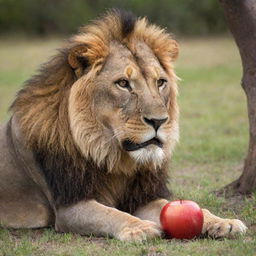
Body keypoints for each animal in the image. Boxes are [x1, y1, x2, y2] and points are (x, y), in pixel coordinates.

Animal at [0, 9, 248, 241]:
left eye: (160, 82)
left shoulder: (142, 196)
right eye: (123, 83)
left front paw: (224, 222)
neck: (112, 157)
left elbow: (184, 208)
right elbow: (110, 214)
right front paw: (140, 228)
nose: (159, 121)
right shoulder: (69, 206)